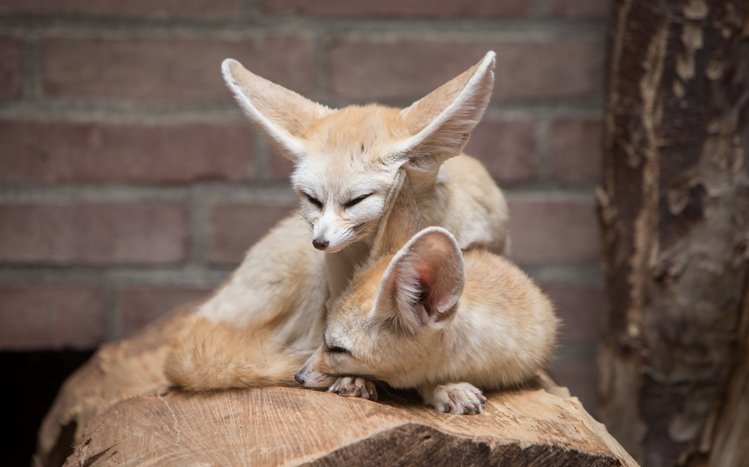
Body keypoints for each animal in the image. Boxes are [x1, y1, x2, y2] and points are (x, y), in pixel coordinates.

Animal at [165, 52, 510, 392]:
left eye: (357, 200)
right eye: (312, 200)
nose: (320, 242)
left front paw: (446, 385)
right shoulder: (336, 282)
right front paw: (353, 375)